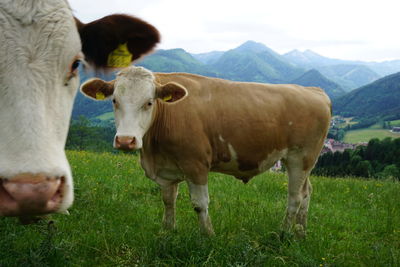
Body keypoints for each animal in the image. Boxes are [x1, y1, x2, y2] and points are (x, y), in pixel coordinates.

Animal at [81, 66, 332, 237]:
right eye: (114, 100)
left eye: (149, 102)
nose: (126, 141)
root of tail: (314, 90)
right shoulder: (167, 169)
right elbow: (168, 200)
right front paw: (167, 231)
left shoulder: (196, 164)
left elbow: (200, 204)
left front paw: (207, 235)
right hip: (305, 161)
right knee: (307, 192)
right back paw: (300, 232)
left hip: (300, 157)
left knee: (295, 196)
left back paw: (284, 233)